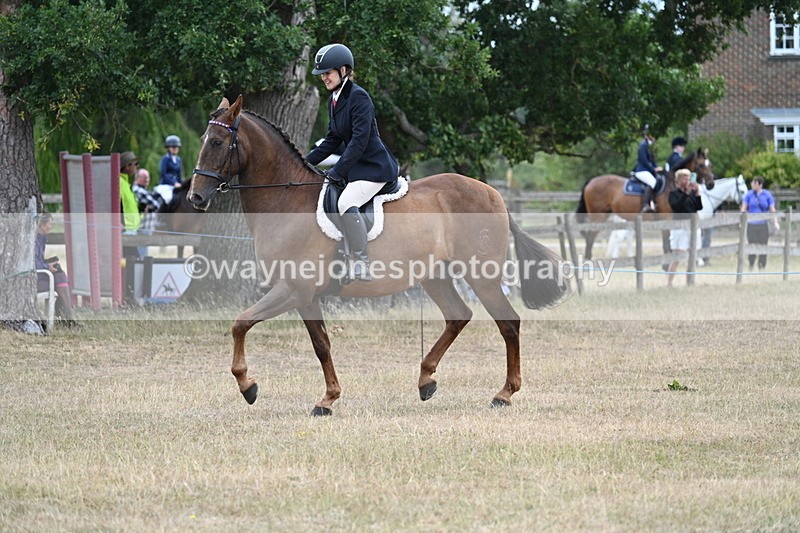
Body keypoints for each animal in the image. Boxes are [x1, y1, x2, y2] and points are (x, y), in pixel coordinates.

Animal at [188, 95, 570, 415]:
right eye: (204, 140)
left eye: (218, 142)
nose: (196, 198)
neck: (285, 201)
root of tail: (495, 195)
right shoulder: (305, 296)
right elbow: (321, 344)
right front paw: (328, 399)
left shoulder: (293, 290)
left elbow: (240, 323)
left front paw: (248, 386)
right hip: (436, 276)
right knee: (458, 316)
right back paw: (426, 380)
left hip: (482, 275)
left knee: (508, 323)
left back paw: (503, 394)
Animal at [575, 149, 715, 260]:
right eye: (701, 165)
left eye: (710, 164)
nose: (711, 184)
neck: (672, 182)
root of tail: (591, 181)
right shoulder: (666, 218)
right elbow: (666, 243)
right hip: (598, 217)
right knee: (590, 238)